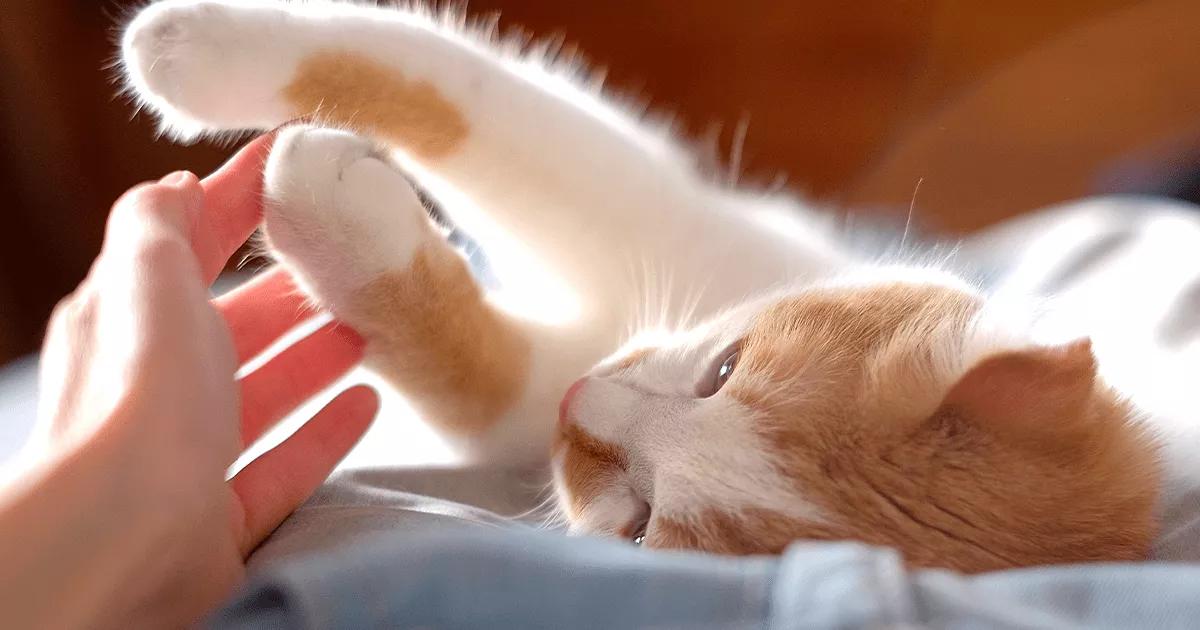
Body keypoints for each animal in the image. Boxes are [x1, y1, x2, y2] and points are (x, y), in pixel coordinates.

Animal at [119, 0, 1161, 568]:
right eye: (725, 368)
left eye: (643, 524)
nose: (579, 408)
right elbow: (471, 96)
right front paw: (194, 45)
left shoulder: (527, 407)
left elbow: (472, 371)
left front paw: (325, 204)